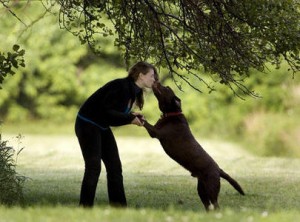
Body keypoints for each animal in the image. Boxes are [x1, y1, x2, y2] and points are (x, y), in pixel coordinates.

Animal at [142, 82, 244, 212]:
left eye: (166, 88)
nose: (158, 81)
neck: (171, 114)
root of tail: (218, 170)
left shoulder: (155, 132)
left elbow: (145, 123)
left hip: (211, 188)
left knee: (216, 205)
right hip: (201, 190)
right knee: (208, 205)